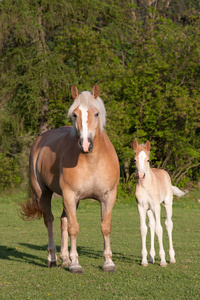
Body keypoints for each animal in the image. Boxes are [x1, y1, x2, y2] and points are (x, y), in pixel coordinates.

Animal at [20, 85, 119, 274]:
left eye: (96, 113)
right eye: (74, 114)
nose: (85, 144)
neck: (92, 161)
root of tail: (40, 141)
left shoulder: (108, 196)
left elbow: (106, 226)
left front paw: (108, 262)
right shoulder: (70, 195)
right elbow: (74, 228)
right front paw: (75, 264)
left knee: (63, 220)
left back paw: (65, 258)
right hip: (44, 193)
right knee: (50, 220)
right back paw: (53, 258)